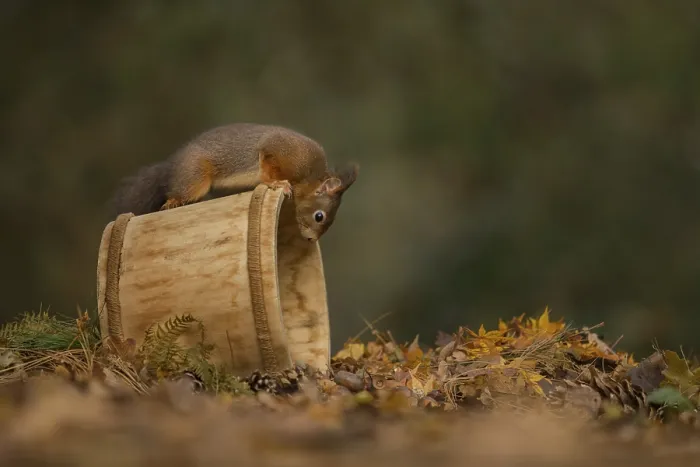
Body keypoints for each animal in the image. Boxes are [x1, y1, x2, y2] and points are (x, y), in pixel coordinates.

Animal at [109, 123, 358, 241]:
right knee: (180, 190)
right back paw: (173, 201)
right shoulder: (280, 151)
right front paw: (277, 183)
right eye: (319, 216)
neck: (309, 176)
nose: (310, 240)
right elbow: (266, 165)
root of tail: (173, 165)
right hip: (196, 176)